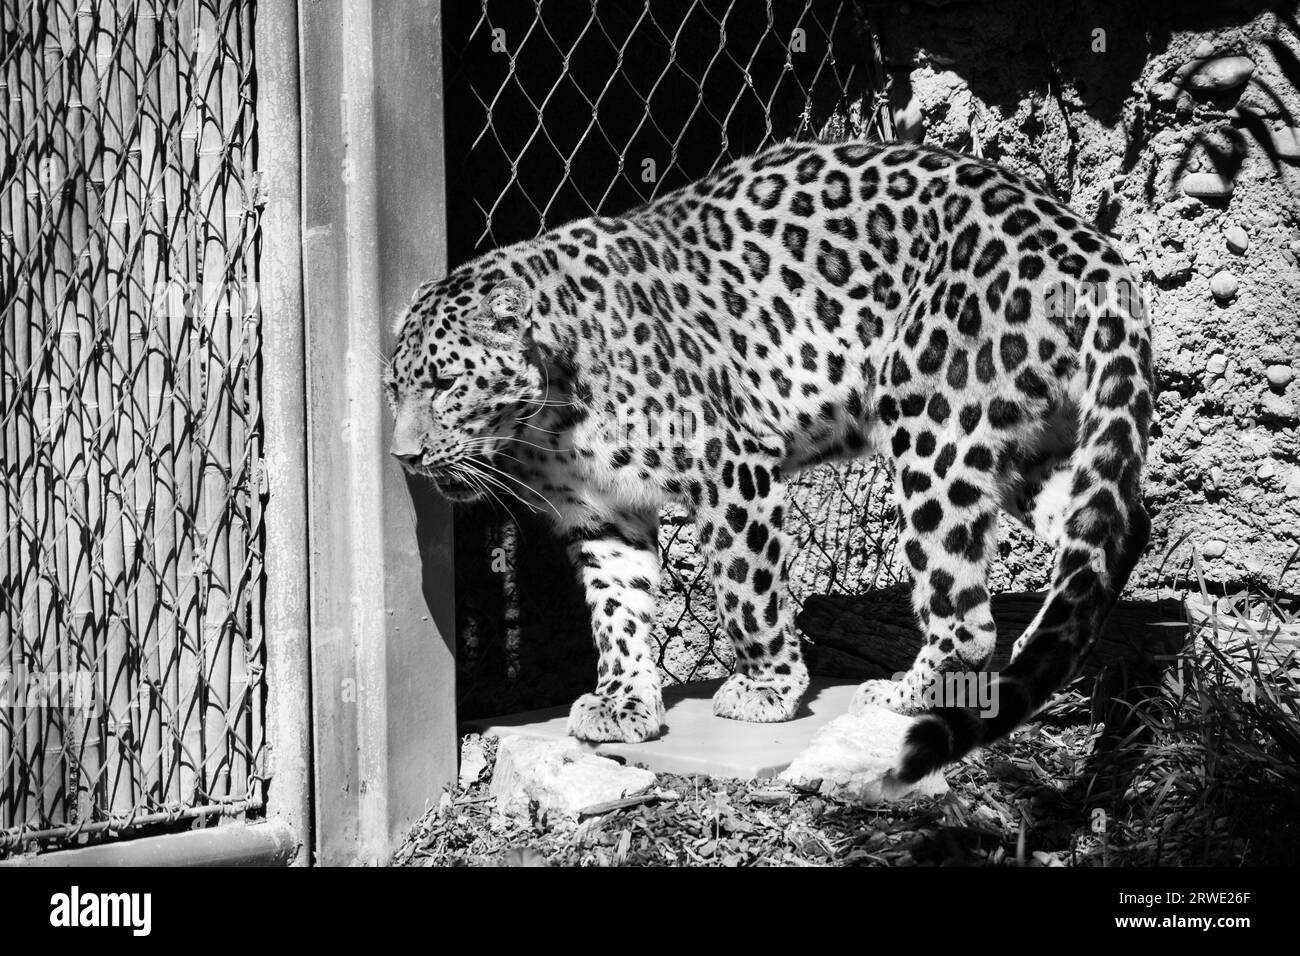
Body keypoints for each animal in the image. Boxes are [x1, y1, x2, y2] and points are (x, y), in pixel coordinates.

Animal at [385, 139, 1153, 783]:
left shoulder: (729, 468)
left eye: (446, 385)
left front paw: (766, 688)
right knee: (1112, 526)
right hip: (1027, 441)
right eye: (395, 389)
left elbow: (746, 590)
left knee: (964, 613)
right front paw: (625, 704)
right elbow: (617, 612)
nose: (404, 455)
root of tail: (1087, 245)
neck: (548, 415)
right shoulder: (602, 513)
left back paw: (905, 694)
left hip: (934, 428)